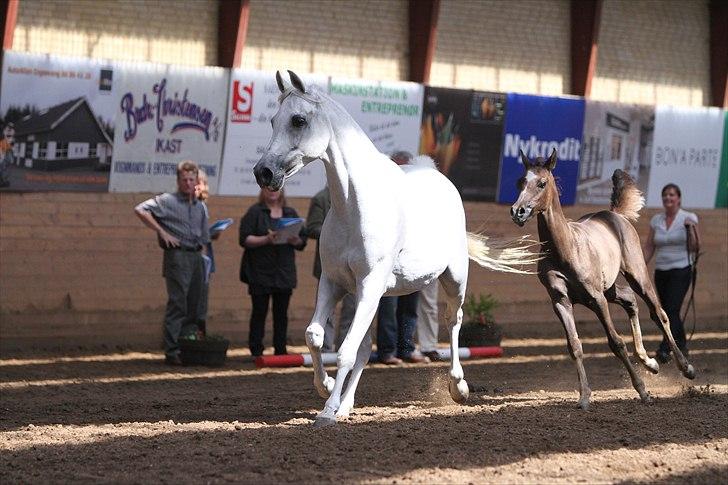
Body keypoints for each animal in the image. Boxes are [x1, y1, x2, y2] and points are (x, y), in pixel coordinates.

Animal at [255, 70, 536, 426]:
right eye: (273, 120)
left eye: (298, 120)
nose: (263, 172)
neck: (354, 204)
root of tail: (434, 171)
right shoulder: (336, 283)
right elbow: (316, 336)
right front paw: (327, 388)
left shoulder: (369, 284)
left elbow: (345, 351)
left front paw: (327, 411)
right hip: (374, 295)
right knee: (364, 347)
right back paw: (346, 405)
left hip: (454, 279)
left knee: (453, 320)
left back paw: (458, 386)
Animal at [510, 149, 696, 406]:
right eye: (520, 181)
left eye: (542, 183)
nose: (518, 211)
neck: (565, 249)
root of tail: (615, 215)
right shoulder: (561, 301)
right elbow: (574, 345)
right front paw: (584, 397)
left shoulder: (596, 298)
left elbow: (616, 342)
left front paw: (643, 391)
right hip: (610, 289)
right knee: (629, 299)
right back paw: (650, 362)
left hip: (636, 276)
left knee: (659, 314)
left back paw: (685, 367)